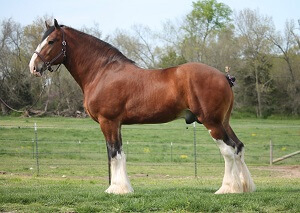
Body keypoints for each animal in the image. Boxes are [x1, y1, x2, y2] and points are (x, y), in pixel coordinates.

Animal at [28, 20, 255, 195]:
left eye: (51, 41)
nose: (33, 66)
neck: (102, 72)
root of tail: (223, 76)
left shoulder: (108, 121)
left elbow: (114, 154)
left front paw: (117, 190)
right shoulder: (117, 124)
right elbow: (119, 152)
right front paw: (122, 188)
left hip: (211, 122)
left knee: (228, 150)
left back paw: (228, 189)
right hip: (223, 121)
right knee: (239, 147)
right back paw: (245, 187)